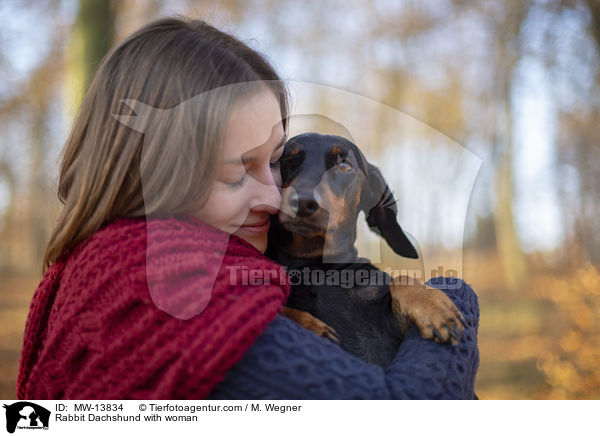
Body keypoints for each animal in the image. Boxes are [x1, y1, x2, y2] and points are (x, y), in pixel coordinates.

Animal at [270, 133, 466, 368]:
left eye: (344, 165)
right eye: (285, 160)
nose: (302, 202)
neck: (314, 265)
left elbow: (401, 279)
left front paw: (434, 308)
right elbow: (283, 310)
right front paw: (313, 327)